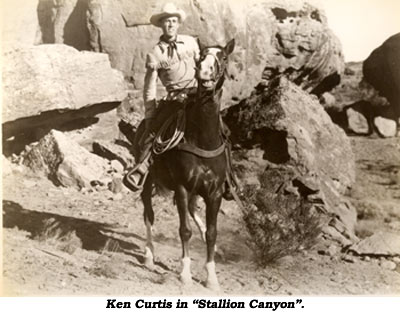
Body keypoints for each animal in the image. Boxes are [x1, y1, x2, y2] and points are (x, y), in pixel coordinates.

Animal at [134, 39, 234, 292]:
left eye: (223, 57)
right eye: (201, 56)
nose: (205, 72)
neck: (203, 138)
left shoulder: (214, 192)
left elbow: (212, 233)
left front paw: (212, 278)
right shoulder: (182, 188)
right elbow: (185, 230)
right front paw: (185, 274)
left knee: (192, 212)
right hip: (148, 181)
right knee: (148, 214)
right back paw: (149, 256)